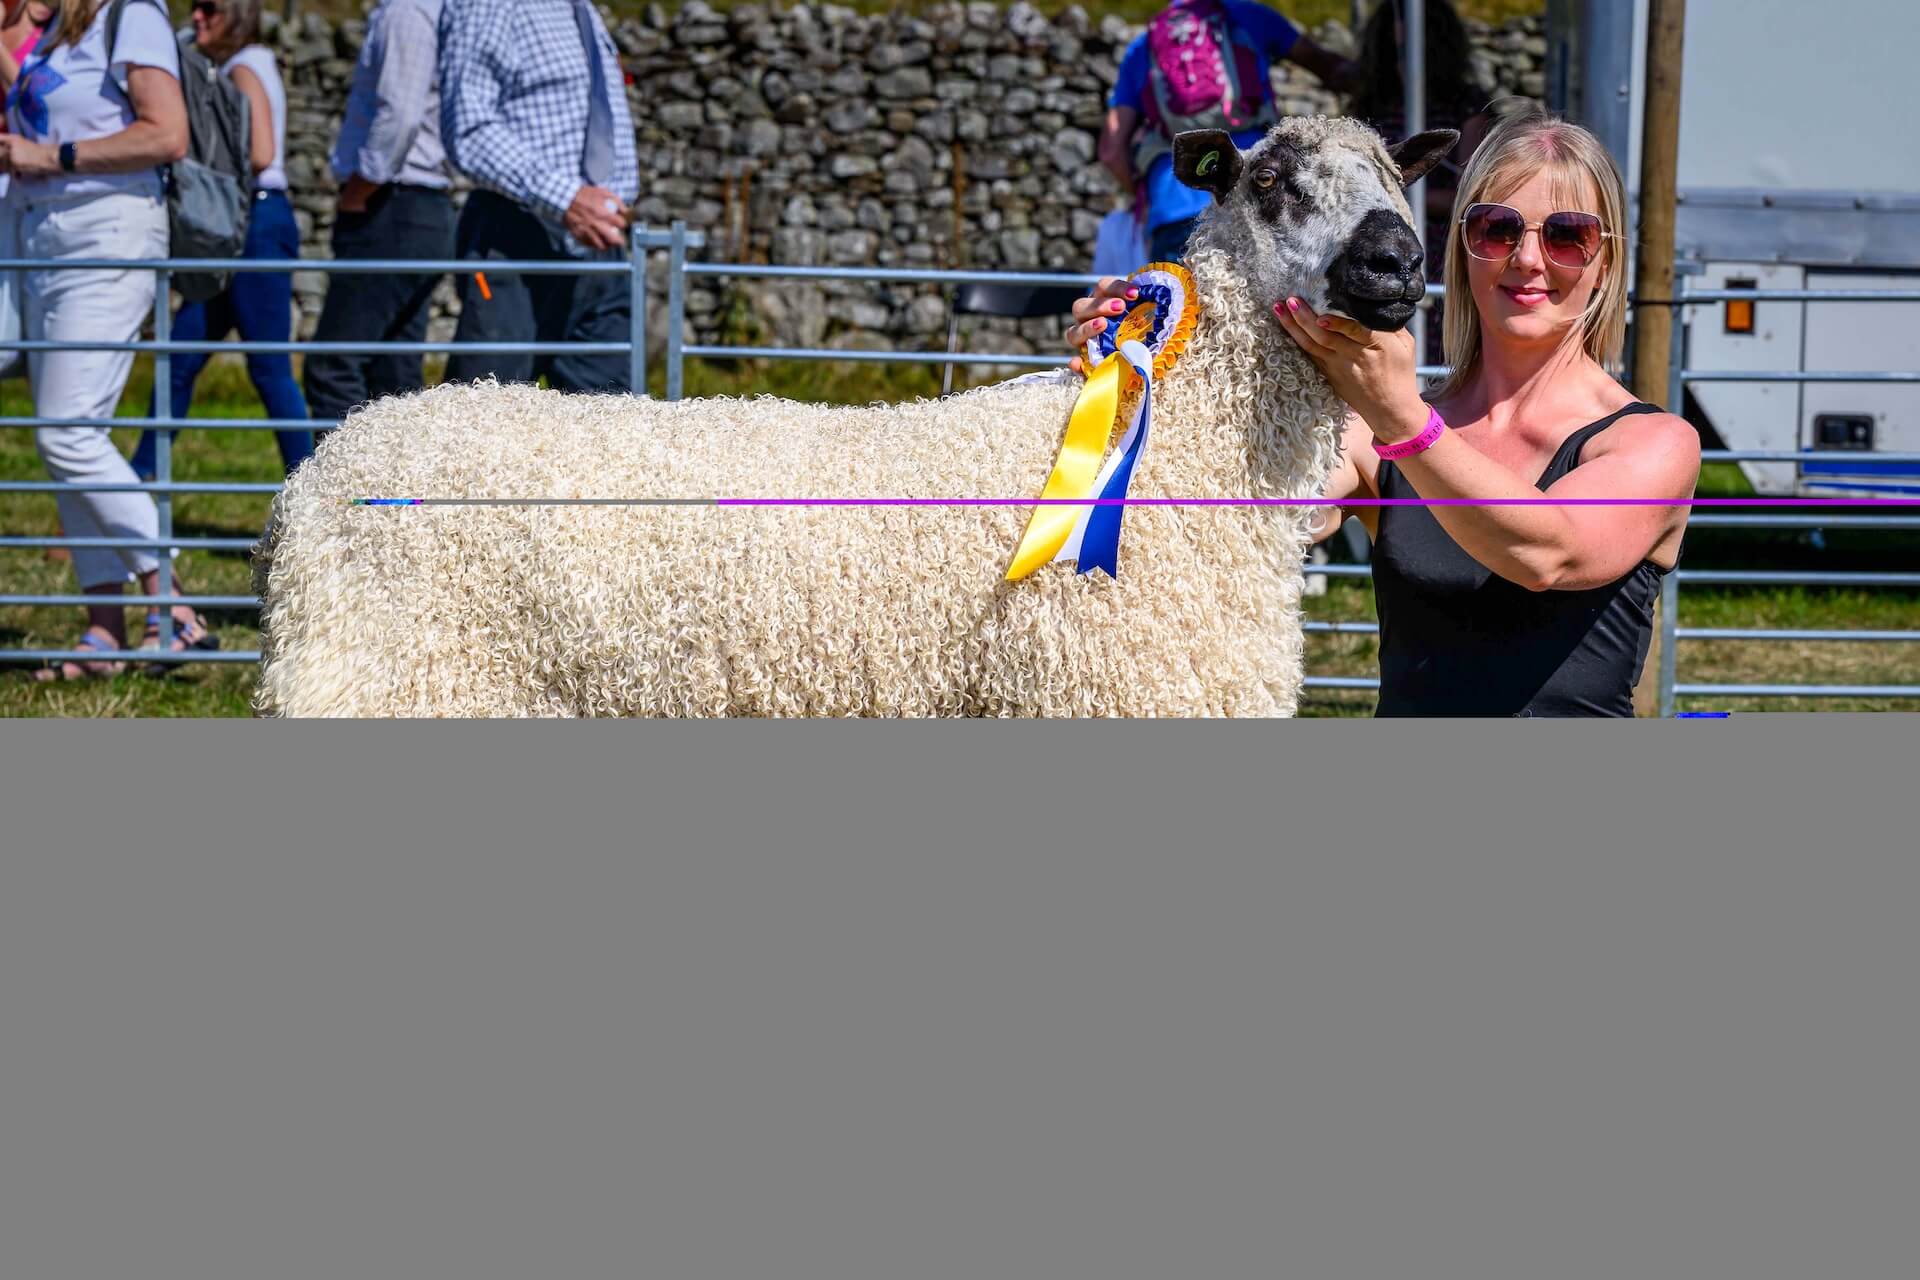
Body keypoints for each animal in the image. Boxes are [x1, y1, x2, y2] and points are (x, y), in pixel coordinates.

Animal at [253, 118, 1458, 717]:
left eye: (1395, 179)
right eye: (1275, 186)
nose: (1396, 266)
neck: (1191, 450)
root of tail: (316, 478)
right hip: (386, 682)